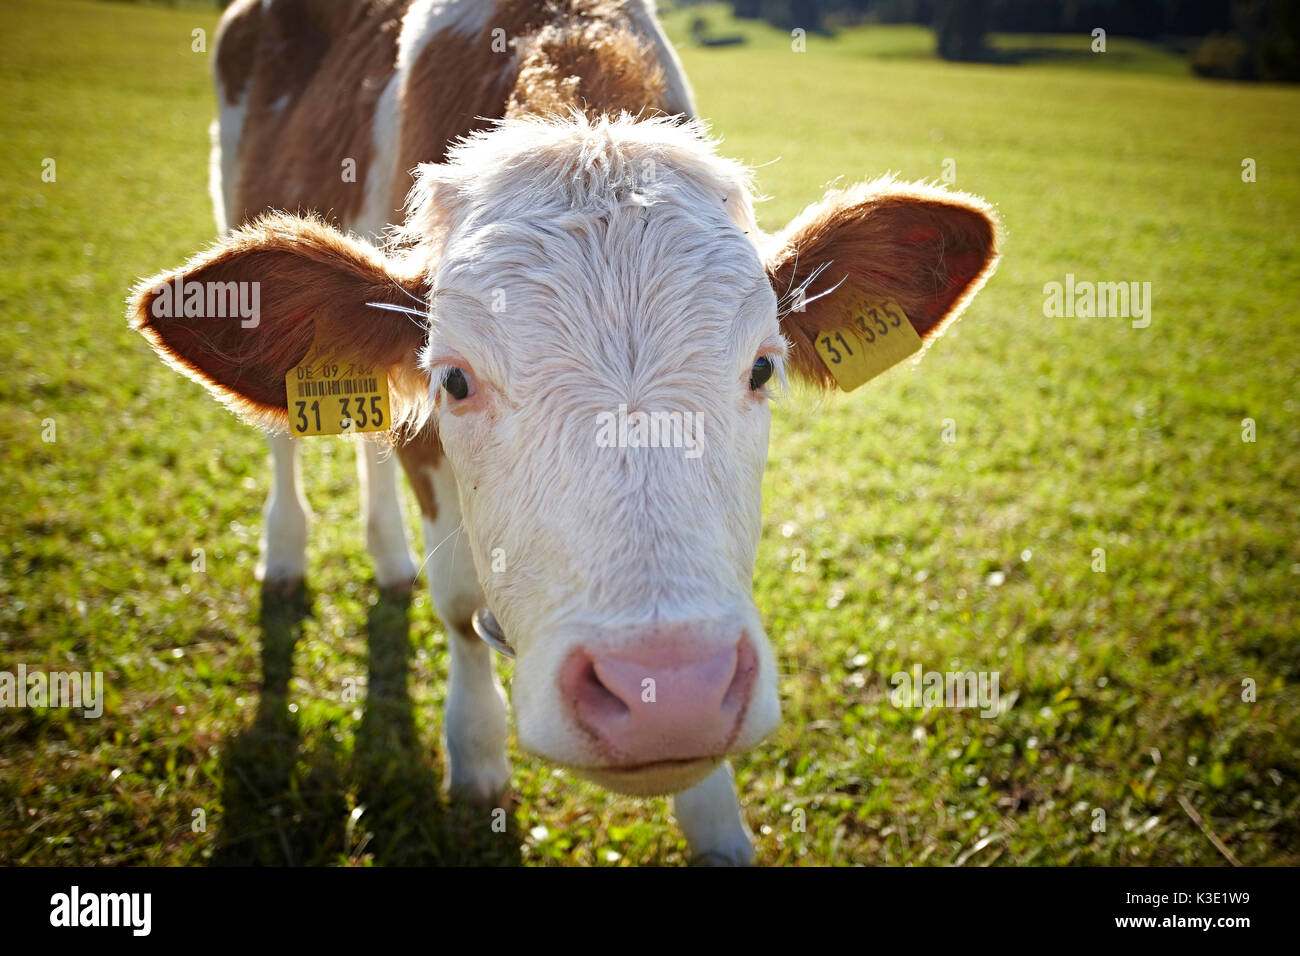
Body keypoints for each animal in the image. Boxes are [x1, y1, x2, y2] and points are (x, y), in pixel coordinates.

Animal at [129, 0, 999, 864]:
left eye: (761, 367)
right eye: (455, 380)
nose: (667, 693)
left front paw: (717, 820)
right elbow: (458, 605)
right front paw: (476, 754)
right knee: (285, 440)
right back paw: (285, 553)